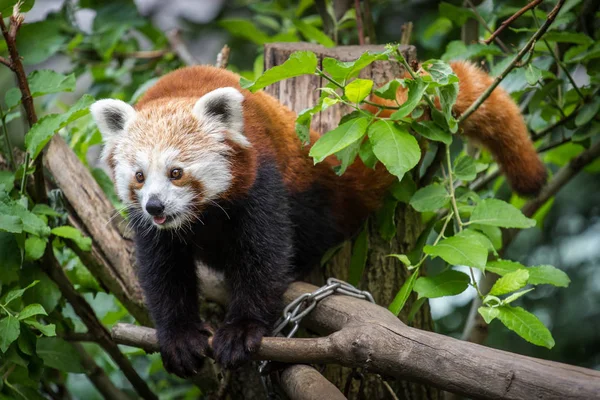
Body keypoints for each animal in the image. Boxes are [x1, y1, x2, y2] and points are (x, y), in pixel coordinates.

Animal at [90, 61, 548, 376]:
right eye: (139, 176)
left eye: (176, 172)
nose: (155, 206)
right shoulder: (152, 229)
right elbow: (162, 272)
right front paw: (180, 337)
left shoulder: (262, 179)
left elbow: (264, 256)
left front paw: (242, 331)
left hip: (310, 190)